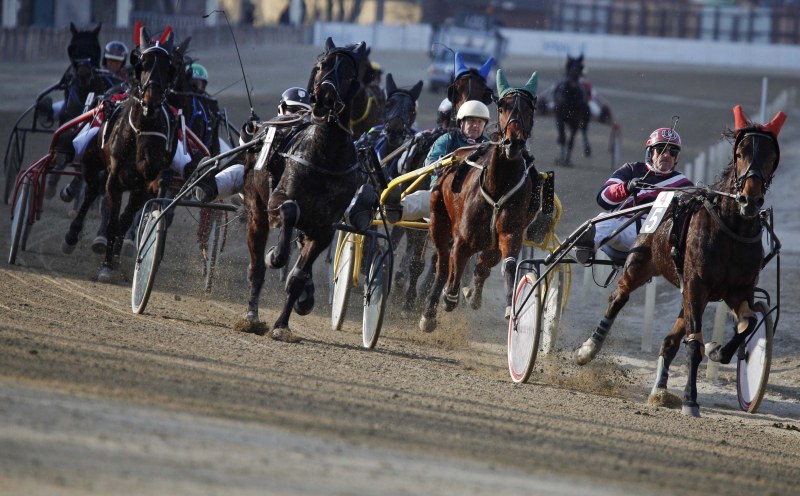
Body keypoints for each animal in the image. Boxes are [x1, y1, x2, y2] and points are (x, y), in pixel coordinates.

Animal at [239, 37, 370, 340]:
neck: (325, 156)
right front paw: (275, 255)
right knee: (256, 266)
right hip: (256, 209)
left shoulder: (324, 227)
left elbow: (299, 276)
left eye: (349, 73)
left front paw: (282, 324)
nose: (324, 98)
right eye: (321, 65)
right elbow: (289, 210)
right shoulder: (279, 198)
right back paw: (252, 316)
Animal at [416, 70, 540, 332]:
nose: (513, 143)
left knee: (480, 263)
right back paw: (430, 311)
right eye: (502, 106)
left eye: (530, 109)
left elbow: (506, 265)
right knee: (442, 263)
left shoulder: (511, 233)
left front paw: (508, 306)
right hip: (438, 220)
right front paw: (449, 297)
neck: (497, 186)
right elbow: (453, 269)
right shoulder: (463, 238)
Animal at [576, 105, 788, 418]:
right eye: (740, 153)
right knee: (618, 297)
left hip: (685, 290)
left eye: (772, 157)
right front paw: (690, 399)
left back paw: (660, 390)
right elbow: (693, 345)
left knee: (669, 341)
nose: (750, 200)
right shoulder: (696, 284)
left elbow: (748, 323)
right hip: (640, 264)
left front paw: (718, 350)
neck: (731, 228)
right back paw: (589, 347)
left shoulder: (738, 290)